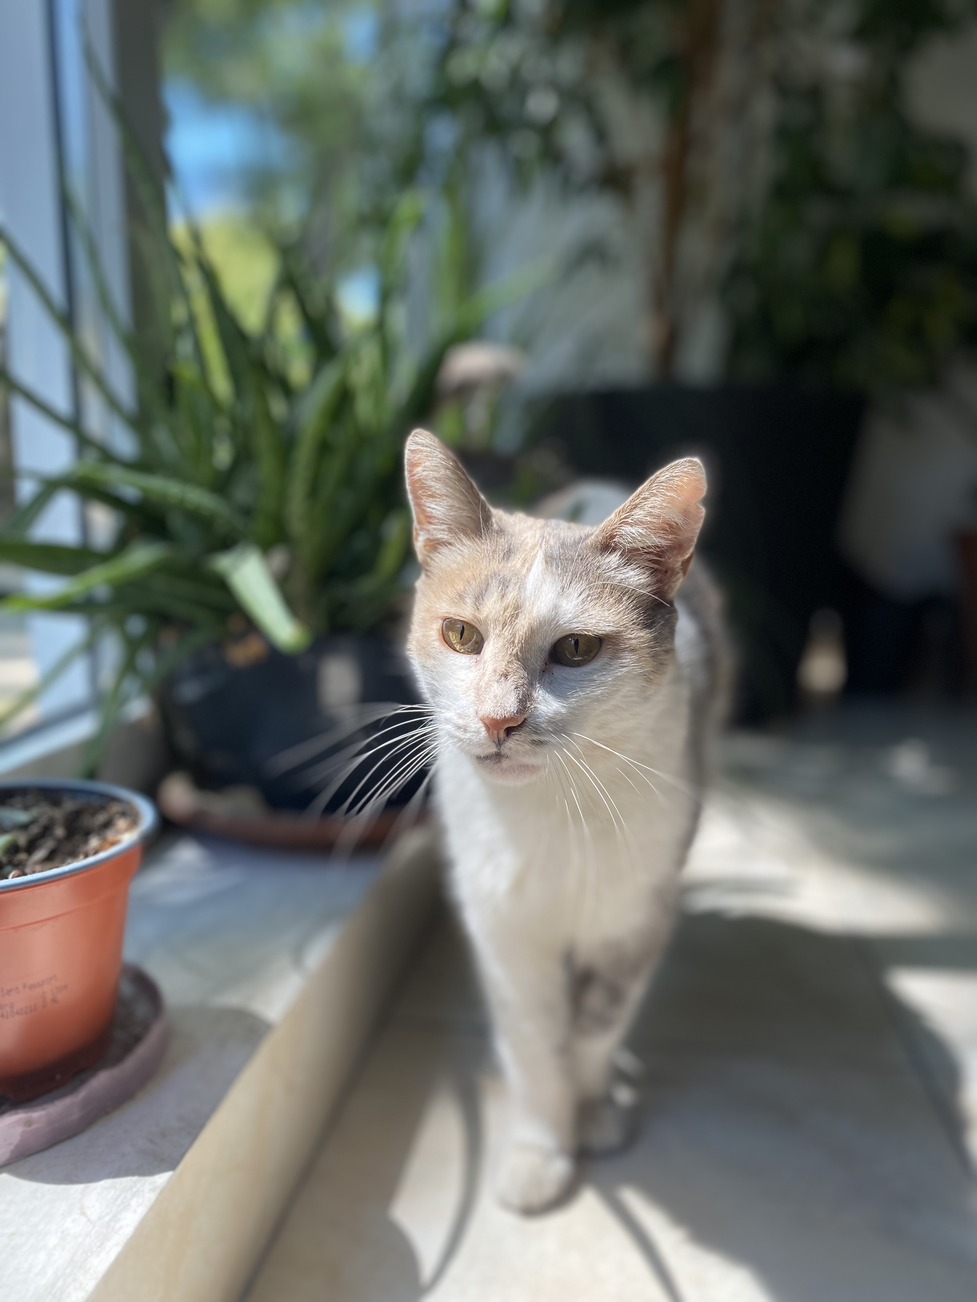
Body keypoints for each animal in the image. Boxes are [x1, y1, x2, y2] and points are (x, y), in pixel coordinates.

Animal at [404, 428, 727, 1214]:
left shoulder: (633, 919)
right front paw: (540, 1151)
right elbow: (535, 1048)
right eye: (461, 635)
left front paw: (594, 1113)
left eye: (576, 648)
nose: (498, 719)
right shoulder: (505, 930)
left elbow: (593, 1031)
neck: (551, 815)